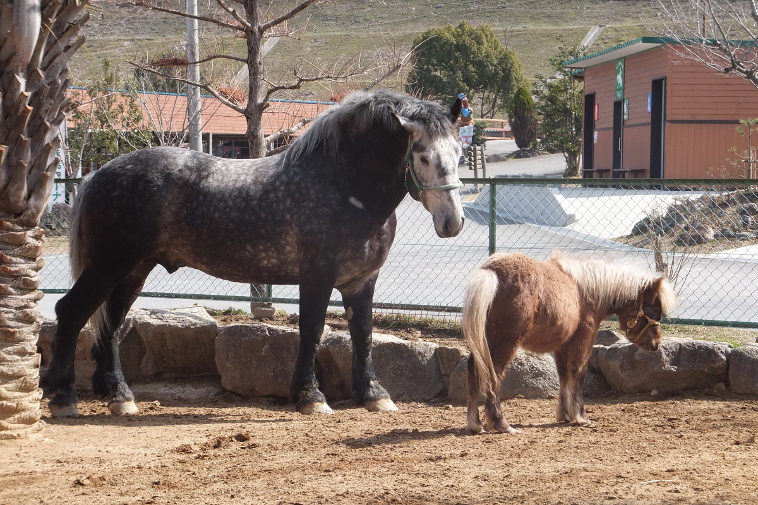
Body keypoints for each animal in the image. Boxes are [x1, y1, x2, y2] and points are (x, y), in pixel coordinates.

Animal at [466, 250, 680, 432]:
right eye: (654, 309)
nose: (656, 344)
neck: (585, 291)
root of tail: (491, 272)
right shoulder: (584, 337)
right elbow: (578, 371)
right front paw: (580, 416)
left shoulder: (562, 345)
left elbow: (564, 374)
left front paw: (566, 414)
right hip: (506, 342)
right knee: (494, 374)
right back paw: (501, 424)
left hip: (486, 342)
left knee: (473, 368)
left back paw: (475, 424)